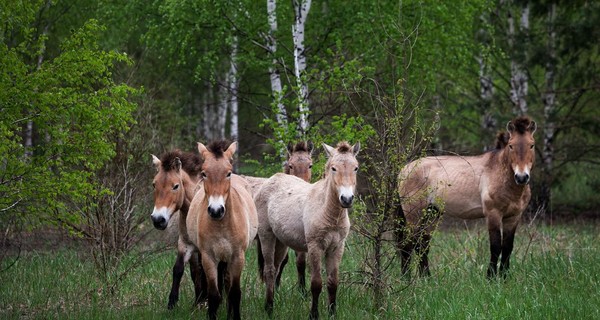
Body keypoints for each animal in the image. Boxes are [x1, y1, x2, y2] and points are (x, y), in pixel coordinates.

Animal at [149, 151, 206, 308]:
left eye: (175, 186)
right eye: (154, 184)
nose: (158, 220)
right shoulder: (185, 245)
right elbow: (179, 269)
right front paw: (172, 303)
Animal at [188, 141, 258, 320]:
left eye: (228, 173)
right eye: (204, 173)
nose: (216, 210)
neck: (222, 225)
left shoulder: (237, 257)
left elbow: (234, 293)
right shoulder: (208, 258)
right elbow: (214, 295)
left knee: (228, 285)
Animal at [254, 141, 358, 318]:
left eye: (356, 168)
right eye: (334, 168)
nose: (346, 199)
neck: (327, 211)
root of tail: (272, 179)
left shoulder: (337, 247)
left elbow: (333, 283)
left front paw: (332, 313)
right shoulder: (315, 246)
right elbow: (316, 283)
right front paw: (313, 314)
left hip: (281, 242)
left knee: (276, 268)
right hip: (267, 236)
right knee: (269, 270)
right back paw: (268, 308)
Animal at [396, 117, 536, 278]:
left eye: (532, 145)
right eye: (511, 146)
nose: (521, 177)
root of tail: (403, 170)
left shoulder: (513, 217)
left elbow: (507, 248)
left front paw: (504, 277)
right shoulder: (493, 214)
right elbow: (495, 247)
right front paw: (491, 277)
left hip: (432, 213)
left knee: (422, 245)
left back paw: (426, 278)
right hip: (413, 215)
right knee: (407, 245)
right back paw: (406, 278)